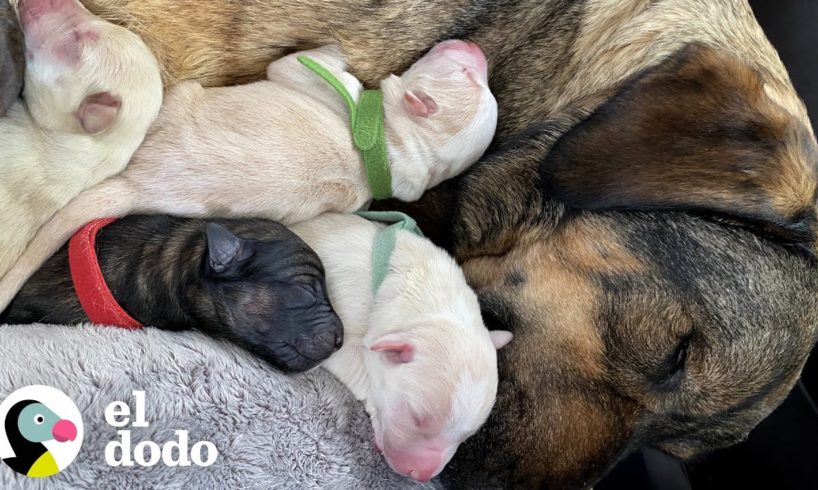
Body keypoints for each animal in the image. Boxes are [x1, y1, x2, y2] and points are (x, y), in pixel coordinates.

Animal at [0, 41, 494, 310]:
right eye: (474, 76)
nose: (476, 50)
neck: (400, 146)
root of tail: (135, 184)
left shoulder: (314, 80)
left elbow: (296, 63)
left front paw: (333, 52)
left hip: (178, 99)